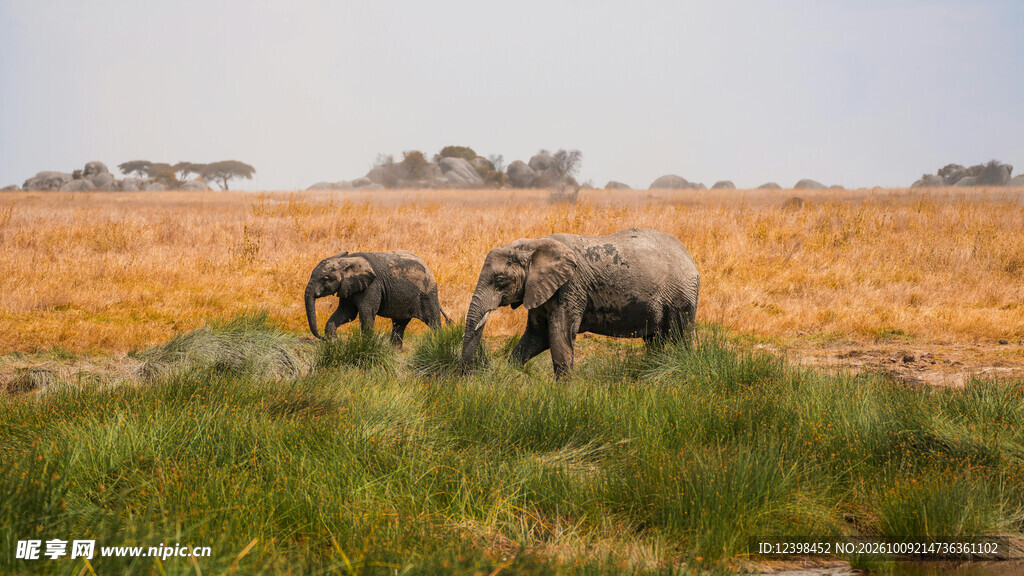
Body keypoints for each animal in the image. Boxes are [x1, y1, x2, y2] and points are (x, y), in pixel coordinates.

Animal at [304, 250, 450, 347]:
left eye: (325, 279)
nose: (322, 338)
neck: (348, 260)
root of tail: (428, 267)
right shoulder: (348, 286)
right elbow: (346, 313)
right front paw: (334, 341)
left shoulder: (372, 286)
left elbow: (366, 313)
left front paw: (365, 345)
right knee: (399, 324)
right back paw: (394, 351)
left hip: (428, 293)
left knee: (432, 320)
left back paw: (438, 344)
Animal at [461, 227, 700, 377]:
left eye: (500, 280)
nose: (467, 379)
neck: (534, 245)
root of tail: (689, 256)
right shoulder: (540, 289)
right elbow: (537, 336)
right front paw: (510, 375)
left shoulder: (570, 287)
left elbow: (559, 334)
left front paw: (565, 393)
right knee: (654, 340)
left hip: (682, 295)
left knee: (680, 336)